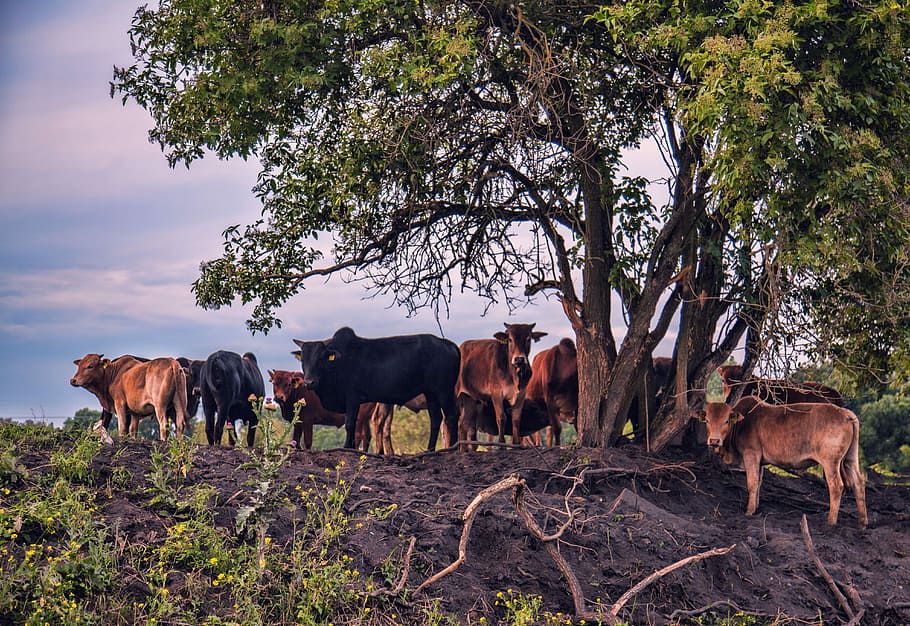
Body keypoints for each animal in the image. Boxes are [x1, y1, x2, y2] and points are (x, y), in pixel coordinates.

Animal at [292, 327, 461, 451]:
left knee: (452, 415)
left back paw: (453, 447)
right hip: (431, 393)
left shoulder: (352, 398)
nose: (309, 382)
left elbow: (350, 423)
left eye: (321, 358)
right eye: (303, 360)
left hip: (443, 391)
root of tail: (449, 344)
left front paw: (347, 447)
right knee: (436, 418)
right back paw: (430, 449)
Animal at [702, 397, 867, 528]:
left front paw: (749, 511)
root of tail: (846, 414)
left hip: (830, 462)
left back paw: (831, 522)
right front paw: (755, 507)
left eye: (726, 421)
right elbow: (759, 482)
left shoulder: (751, 454)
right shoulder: (759, 461)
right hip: (850, 459)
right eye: (707, 420)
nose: (714, 441)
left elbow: (752, 483)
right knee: (858, 483)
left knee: (836, 486)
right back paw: (862, 523)